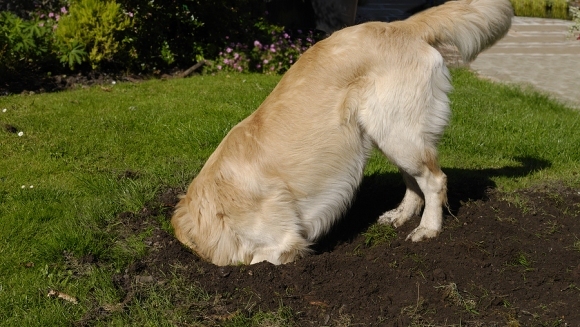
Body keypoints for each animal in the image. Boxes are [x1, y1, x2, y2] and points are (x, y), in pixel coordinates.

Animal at [171, 0, 512, 266]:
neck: (215, 204)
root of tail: (400, 26)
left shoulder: (283, 241)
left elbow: (262, 258)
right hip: (389, 133)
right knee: (413, 181)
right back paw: (400, 216)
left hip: (398, 132)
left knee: (435, 180)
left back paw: (428, 228)